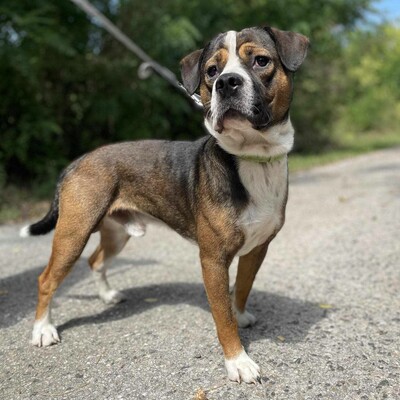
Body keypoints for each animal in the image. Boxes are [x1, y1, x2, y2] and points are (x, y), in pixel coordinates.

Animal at [20, 26, 310, 382]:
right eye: (211, 71)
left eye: (261, 61)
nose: (226, 82)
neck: (252, 158)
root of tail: (76, 163)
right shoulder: (213, 260)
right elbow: (222, 317)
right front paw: (238, 361)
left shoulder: (257, 249)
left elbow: (242, 288)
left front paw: (240, 314)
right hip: (73, 234)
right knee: (47, 279)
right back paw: (42, 330)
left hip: (117, 233)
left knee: (95, 260)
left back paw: (106, 295)